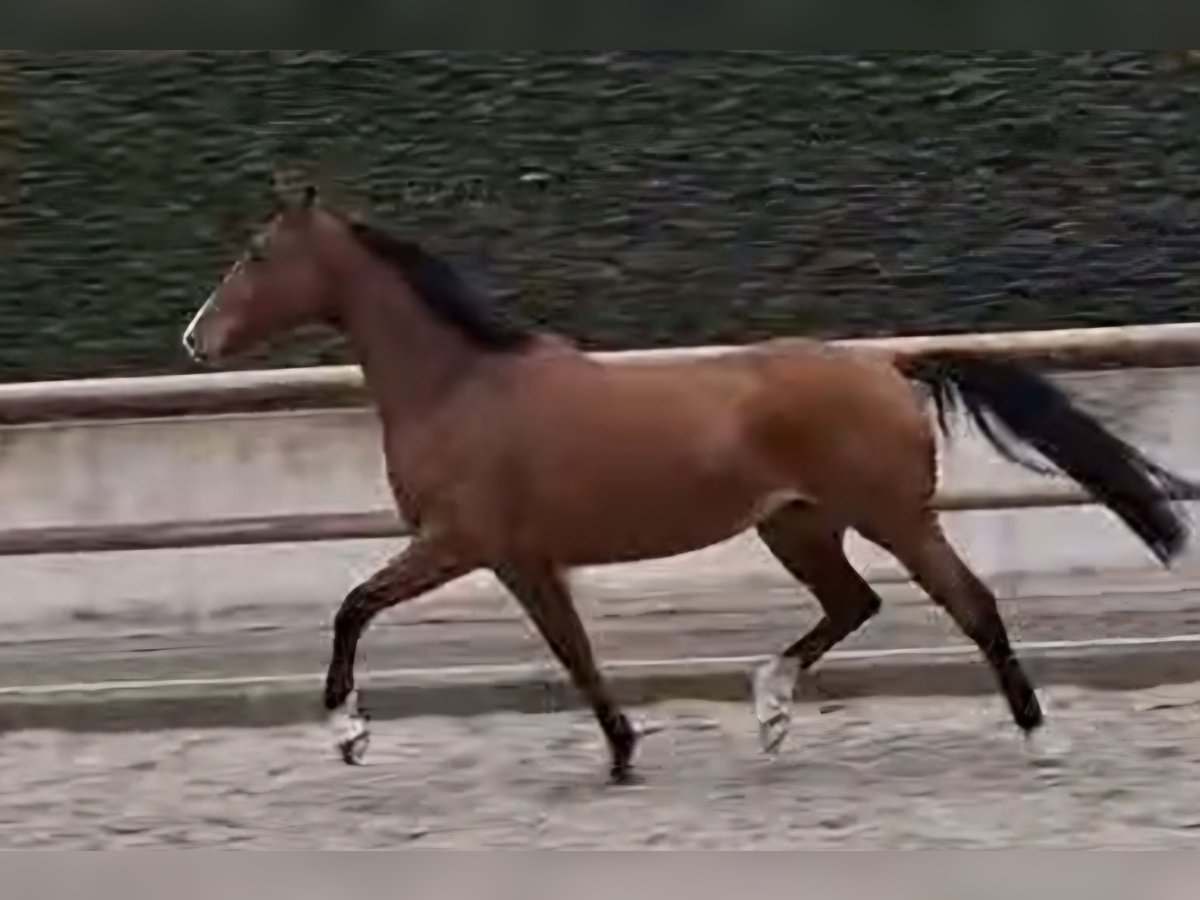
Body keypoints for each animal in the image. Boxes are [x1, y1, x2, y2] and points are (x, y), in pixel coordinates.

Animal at [182, 183, 1195, 782]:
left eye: (258, 253)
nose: (197, 337)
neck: (459, 386)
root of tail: (888, 366)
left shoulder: (458, 543)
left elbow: (353, 606)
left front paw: (348, 734)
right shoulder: (521, 560)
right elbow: (574, 653)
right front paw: (624, 754)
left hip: (894, 518)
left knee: (970, 605)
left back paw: (1038, 734)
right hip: (798, 526)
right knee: (854, 604)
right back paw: (772, 708)